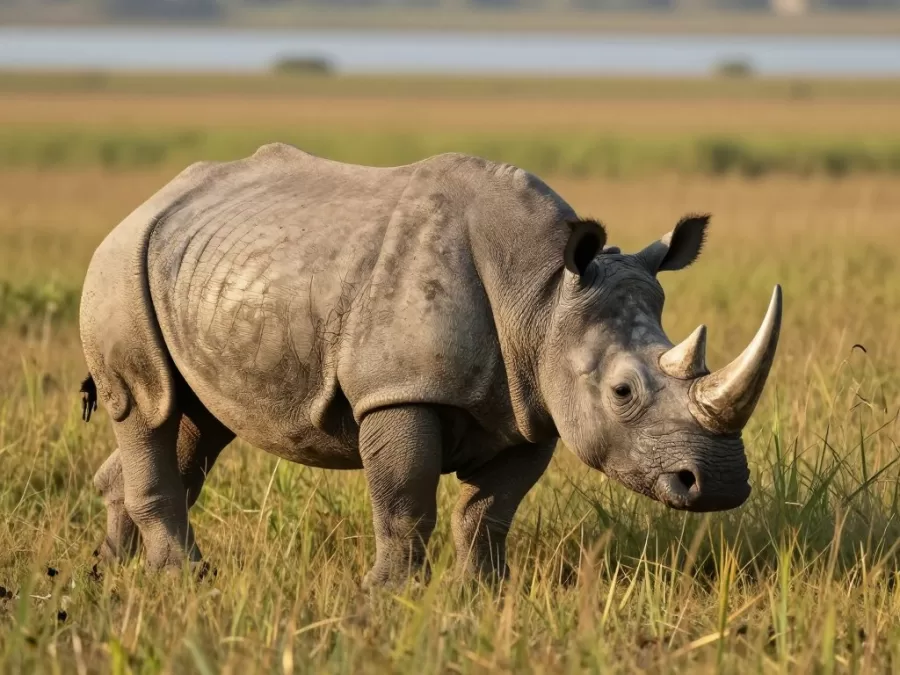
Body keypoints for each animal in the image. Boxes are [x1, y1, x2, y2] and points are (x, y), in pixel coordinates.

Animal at [79, 144, 781, 587]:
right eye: (623, 392)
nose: (719, 485)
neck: (542, 292)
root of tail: (149, 202)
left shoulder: (531, 402)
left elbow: (490, 511)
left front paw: (484, 595)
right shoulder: (400, 388)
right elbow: (405, 499)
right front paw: (391, 597)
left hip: (192, 267)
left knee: (194, 419)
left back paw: (116, 570)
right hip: (118, 267)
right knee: (145, 405)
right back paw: (182, 579)